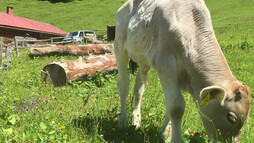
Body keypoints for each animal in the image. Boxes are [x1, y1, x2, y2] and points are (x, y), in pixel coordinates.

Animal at [114, 0, 252, 142]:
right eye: (231, 118)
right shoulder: (165, 62)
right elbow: (176, 106)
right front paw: (176, 138)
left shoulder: (182, 74)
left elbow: (170, 102)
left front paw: (165, 133)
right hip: (119, 46)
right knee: (123, 84)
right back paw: (122, 120)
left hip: (143, 60)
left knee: (139, 88)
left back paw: (136, 120)